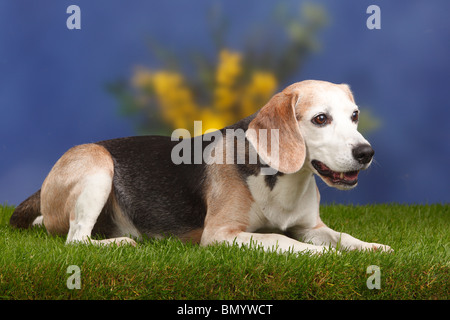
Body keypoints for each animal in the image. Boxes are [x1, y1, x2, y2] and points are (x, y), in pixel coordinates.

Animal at [9, 80, 390, 255]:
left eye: (354, 115)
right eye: (320, 119)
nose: (366, 152)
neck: (283, 180)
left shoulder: (311, 227)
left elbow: (342, 237)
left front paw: (372, 247)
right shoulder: (221, 234)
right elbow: (279, 239)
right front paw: (319, 255)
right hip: (98, 165)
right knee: (76, 240)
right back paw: (121, 242)